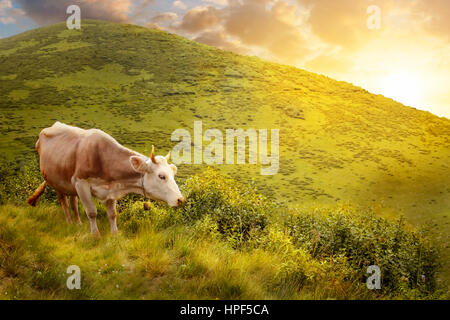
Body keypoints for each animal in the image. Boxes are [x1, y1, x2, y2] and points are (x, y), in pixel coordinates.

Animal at [25, 121, 185, 236]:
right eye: (161, 176)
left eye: (173, 173)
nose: (180, 199)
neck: (103, 158)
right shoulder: (81, 183)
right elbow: (91, 212)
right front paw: (95, 235)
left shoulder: (111, 189)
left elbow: (112, 214)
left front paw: (115, 234)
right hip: (56, 182)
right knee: (64, 203)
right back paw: (70, 222)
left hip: (70, 185)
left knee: (73, 203)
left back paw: (78, 223)